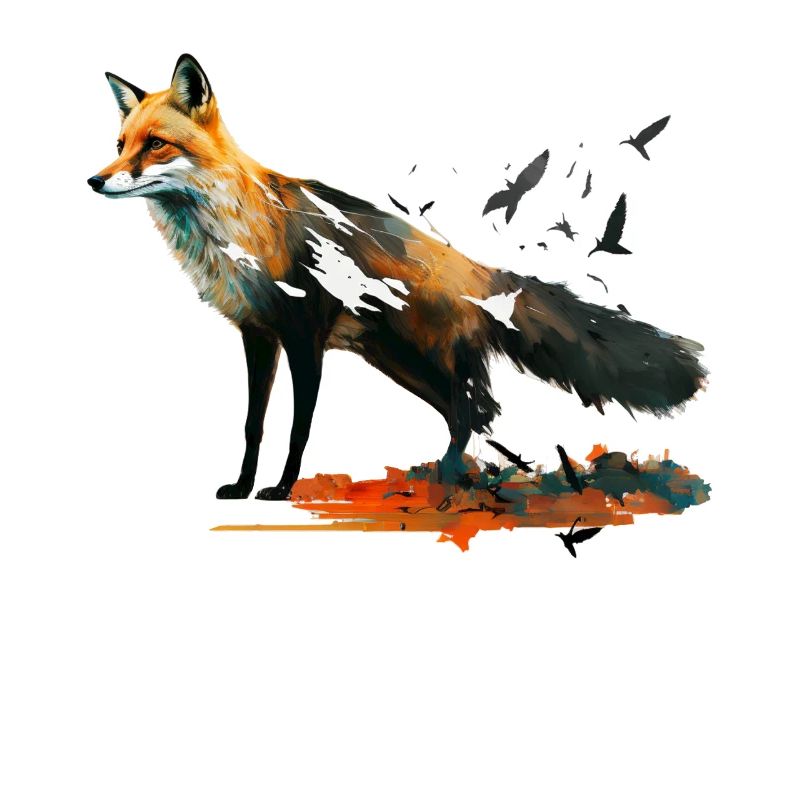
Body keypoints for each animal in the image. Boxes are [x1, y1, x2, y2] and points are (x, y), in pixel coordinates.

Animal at [88, 54, 706, 501]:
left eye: (156, 145)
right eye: (120, 145)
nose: (95, 181)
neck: (238, 230)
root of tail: (479, 270)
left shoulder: (304, 338)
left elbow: (298, 427)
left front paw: (281, 489)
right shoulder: (258, 337)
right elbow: (252, 426)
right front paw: (241, 487)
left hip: (422, 359)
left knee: (473, 412)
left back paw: (452, 479)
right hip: (399, 363)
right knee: (469, 414)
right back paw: (454, 476)